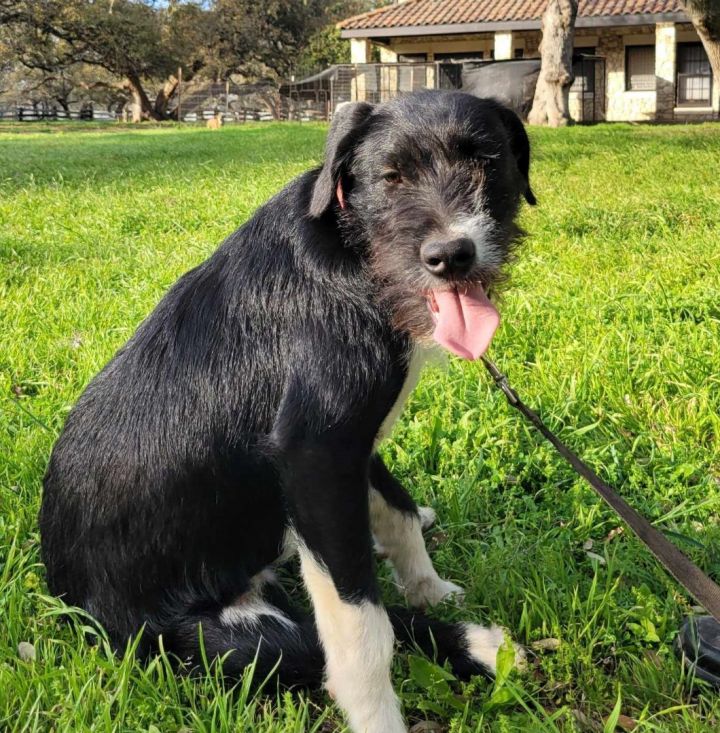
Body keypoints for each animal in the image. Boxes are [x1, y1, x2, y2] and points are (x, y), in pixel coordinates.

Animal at [39, 91, 536, 732]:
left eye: (487, 162)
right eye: (391, 176)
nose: (452, 255)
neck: (352, 253)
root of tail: (72, 604)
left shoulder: (352, 442)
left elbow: (396, 511)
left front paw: (427, 585)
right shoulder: (315, 454)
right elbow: (360, 624)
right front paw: (378, 715)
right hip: (219, 639)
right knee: (312, 643)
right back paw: (478, 646)